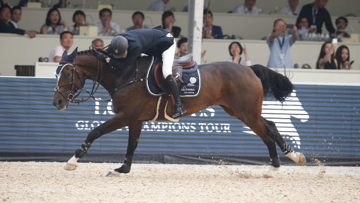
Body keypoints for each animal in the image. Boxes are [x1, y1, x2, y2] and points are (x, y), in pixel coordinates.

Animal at [53, 48, 306, 178]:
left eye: (66, 73)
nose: (57, 102)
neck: (124, 75)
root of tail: (249, 70)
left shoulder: (125, 116)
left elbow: (94, 132)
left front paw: (72, 161)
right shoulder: (135, 119)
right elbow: (132, 144)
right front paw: (122, 169)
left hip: (246, 113)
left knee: (267, 131)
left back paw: (282, 162)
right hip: (239, 111)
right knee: (270, 127)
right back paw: (285, 159)